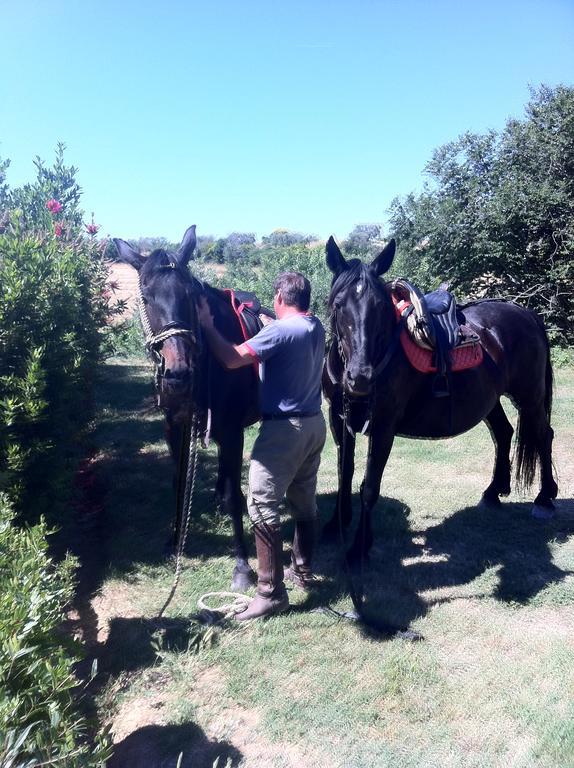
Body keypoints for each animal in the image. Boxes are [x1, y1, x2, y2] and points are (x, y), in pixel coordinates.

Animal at [115, 225, 264, 592]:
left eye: (189, 296)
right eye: (146, 298)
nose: (178, 373)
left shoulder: (231, 431)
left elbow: (231, 494)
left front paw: (242, 566)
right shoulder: (175, 428)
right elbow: (178, 481)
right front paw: (173, 542)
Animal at [322, 237, 560, 560]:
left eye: (381, 307)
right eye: (338, 305)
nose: (360, 378)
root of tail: (527, 315)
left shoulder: (383, 425)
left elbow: (369, 487)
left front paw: (359, 548)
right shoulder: (339, 418)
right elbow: (343, 474)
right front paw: (336, 525)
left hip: (530, 397)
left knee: (543, 435)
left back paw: (545, 499)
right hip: (490, 399)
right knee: (503, 432)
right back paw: (493, 493)